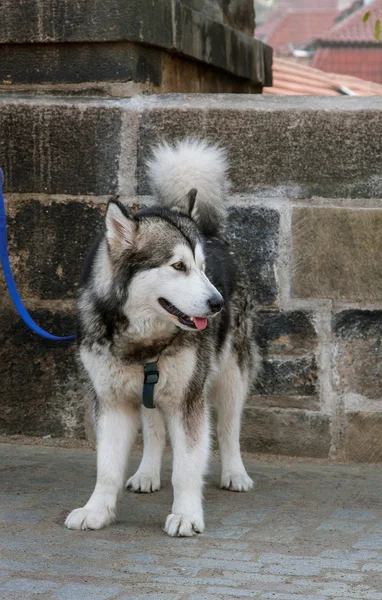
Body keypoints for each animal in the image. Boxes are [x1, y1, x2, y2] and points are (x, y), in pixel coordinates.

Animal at [65, 142, 260, 540]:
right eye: (178, 266)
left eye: (202, 268)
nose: (217, 304)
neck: (144, 340)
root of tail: (214, 234)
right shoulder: (112, 401)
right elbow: (107, 467)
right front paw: (97, 510)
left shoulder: (188, 400)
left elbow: (187, 466)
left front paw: (186, 515)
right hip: (148, 391)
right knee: (154, 430)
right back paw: (146, 473)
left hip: (232, 374)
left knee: (230, 427)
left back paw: (235, 473)